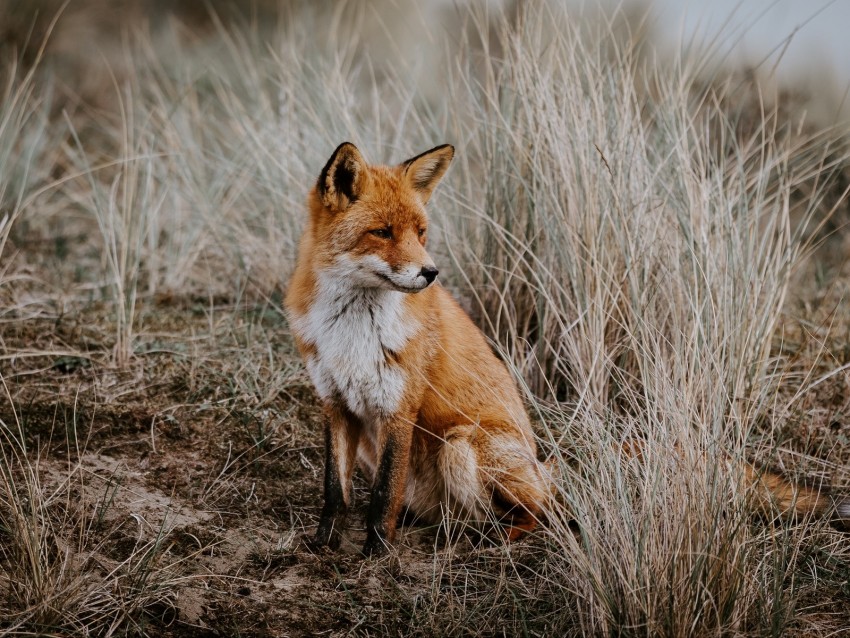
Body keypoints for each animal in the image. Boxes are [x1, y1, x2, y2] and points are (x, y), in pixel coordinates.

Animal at [284, 142, 848, 556]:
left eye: (421, 232)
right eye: (382, 232)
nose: (430, 273)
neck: (351, 330)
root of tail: (543, 464)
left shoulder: (399, 407)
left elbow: (382, 496)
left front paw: (376, 555)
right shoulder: (335, 402)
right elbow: (336, 491)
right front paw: (323, 546)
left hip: (464, 445)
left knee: (548, 515)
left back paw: (496, 541)